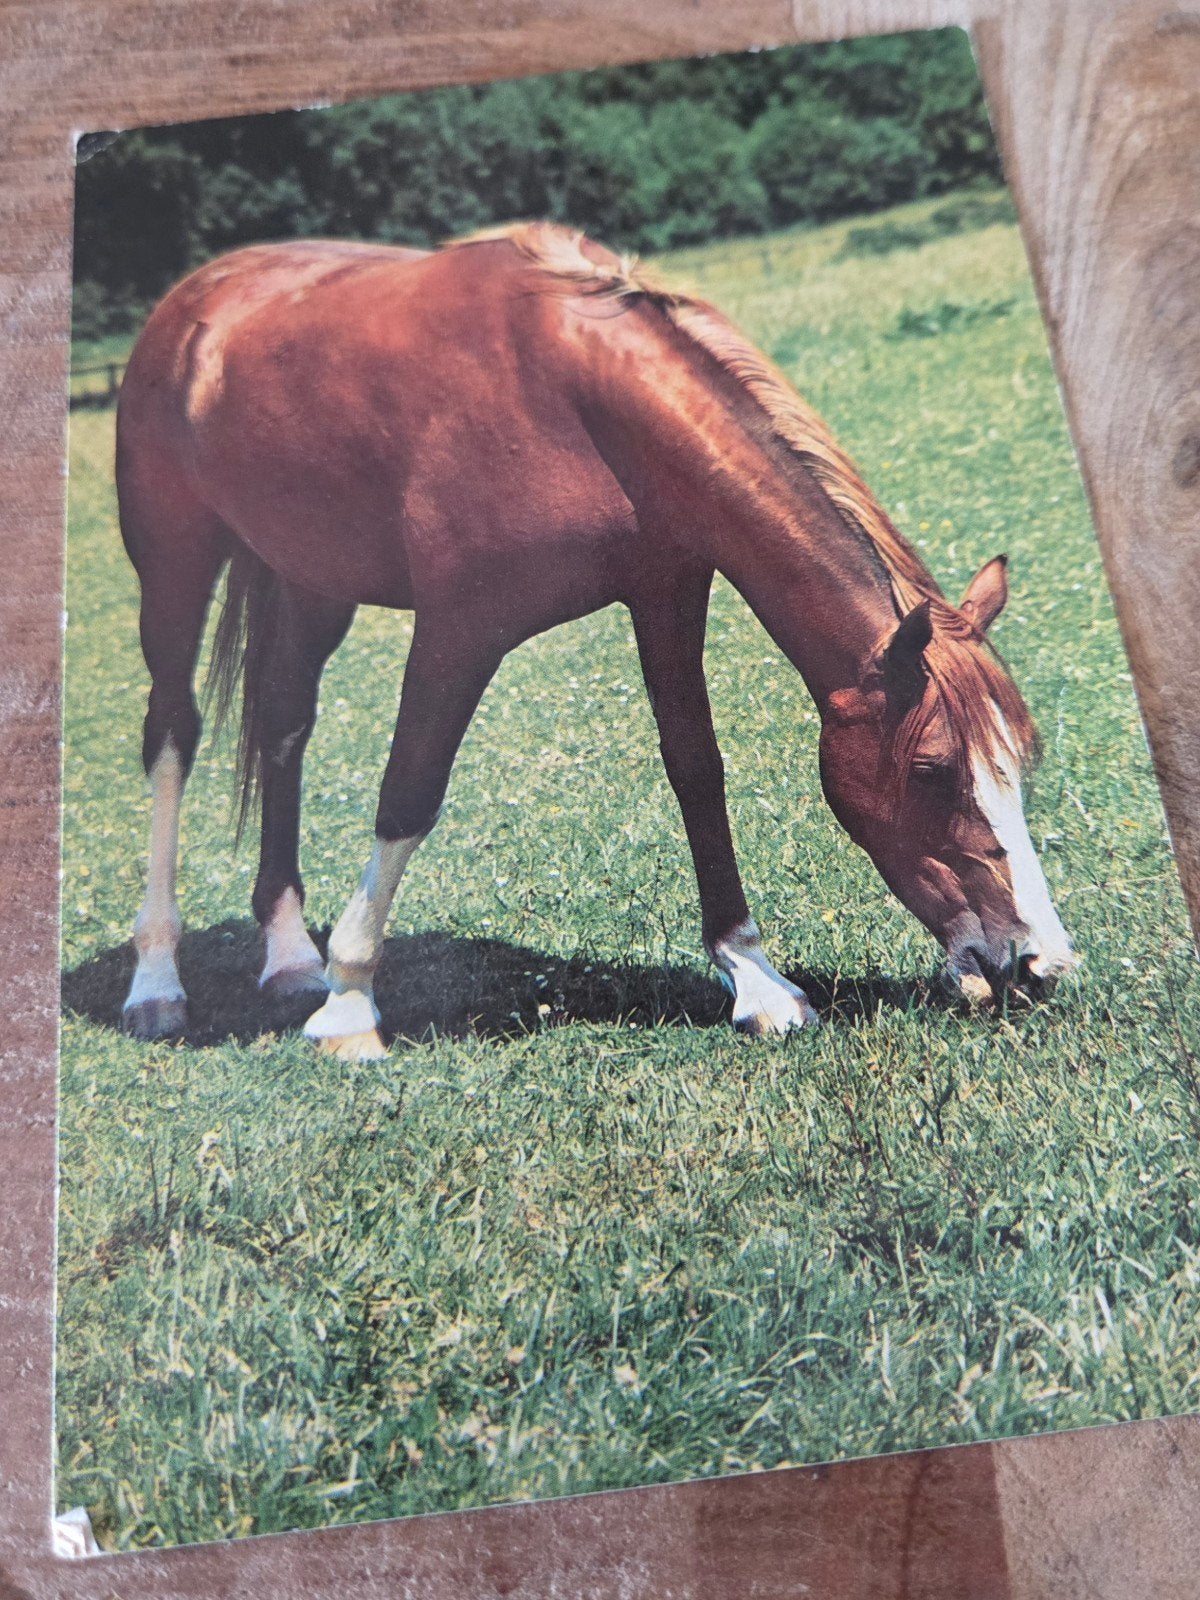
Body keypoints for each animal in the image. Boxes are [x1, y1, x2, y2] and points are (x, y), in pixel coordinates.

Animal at [114, 223, 1076, 1060]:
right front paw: (352, 1003)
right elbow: (408, 792)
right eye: (934, 771)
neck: (576, 398)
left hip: (311, 584)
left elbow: (696, 771)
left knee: (283, 731)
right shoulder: (459, 628)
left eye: (1017, 766)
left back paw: (287, 956)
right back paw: (157, 980)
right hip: (175, 567)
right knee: (172, 738)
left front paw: (754, 977)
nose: (1041, 962)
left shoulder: (667, 594)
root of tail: (199, 296)